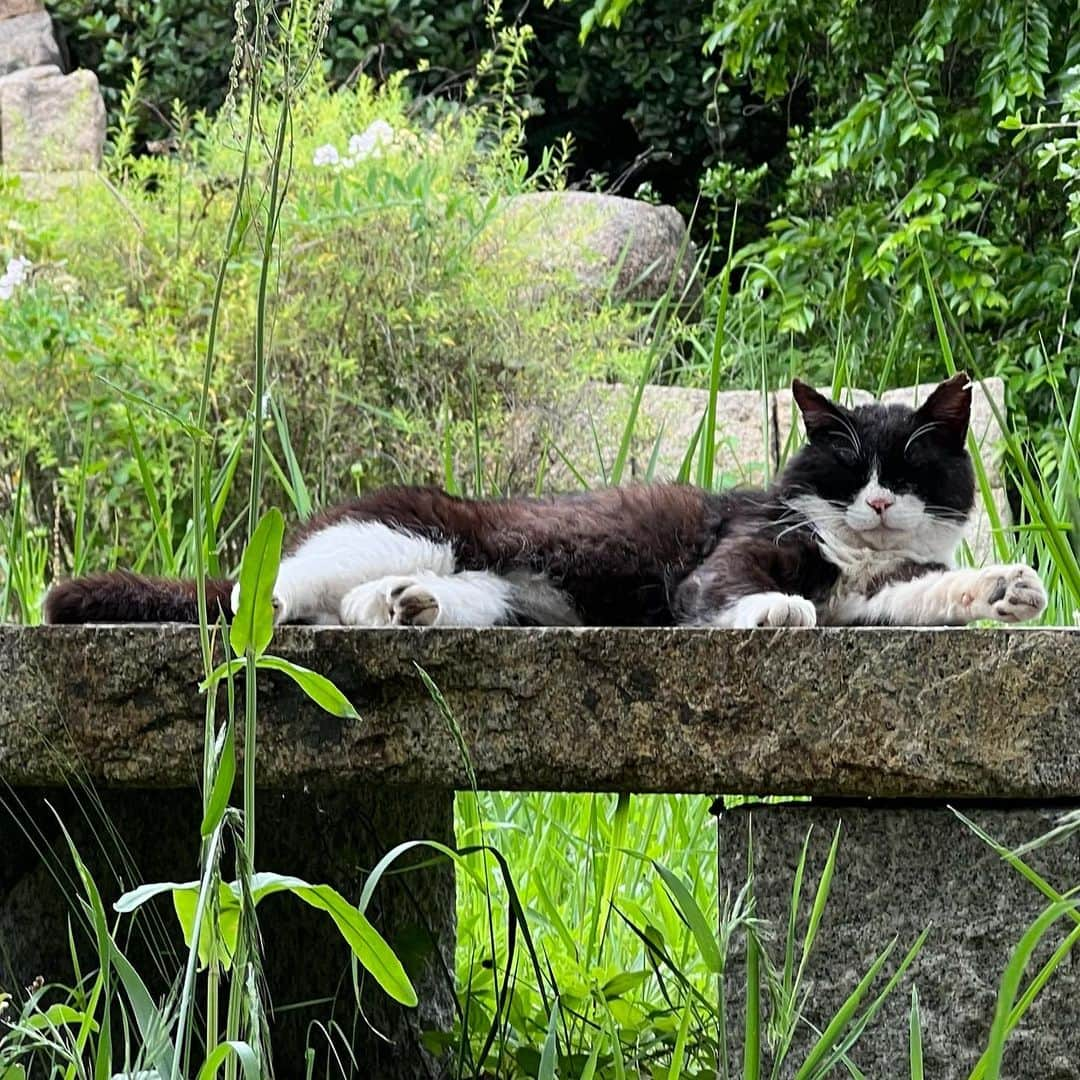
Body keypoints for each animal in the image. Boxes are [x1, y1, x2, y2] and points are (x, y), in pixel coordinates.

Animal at [44, 373, 1045, 630]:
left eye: (908, 475)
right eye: (845, 473)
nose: (874, 504)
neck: (857, 557)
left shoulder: (875, 595)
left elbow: (920, 595)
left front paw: (1007, 590)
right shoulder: (728, 553)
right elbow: (731, 590)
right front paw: (775, 609)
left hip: (485, 592)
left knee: (352, 609)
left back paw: (408, 608)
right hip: (407, 531)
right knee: (284, 603)